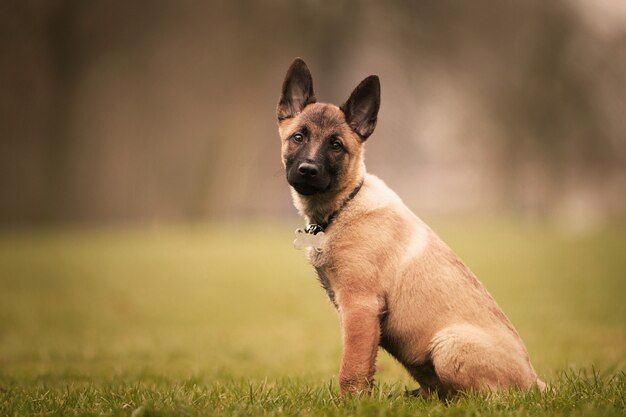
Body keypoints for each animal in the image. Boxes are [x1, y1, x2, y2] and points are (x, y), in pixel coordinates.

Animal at [276, 58, 544, 396]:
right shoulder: (358, 314)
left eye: (336, 146)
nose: (307, 170)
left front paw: (352, 402)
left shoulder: (360, 307)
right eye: (298, 137)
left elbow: (352, 369)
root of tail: (535, 382)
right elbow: (363, 365)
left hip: (449, 345)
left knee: (485, 397)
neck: (344, 205)